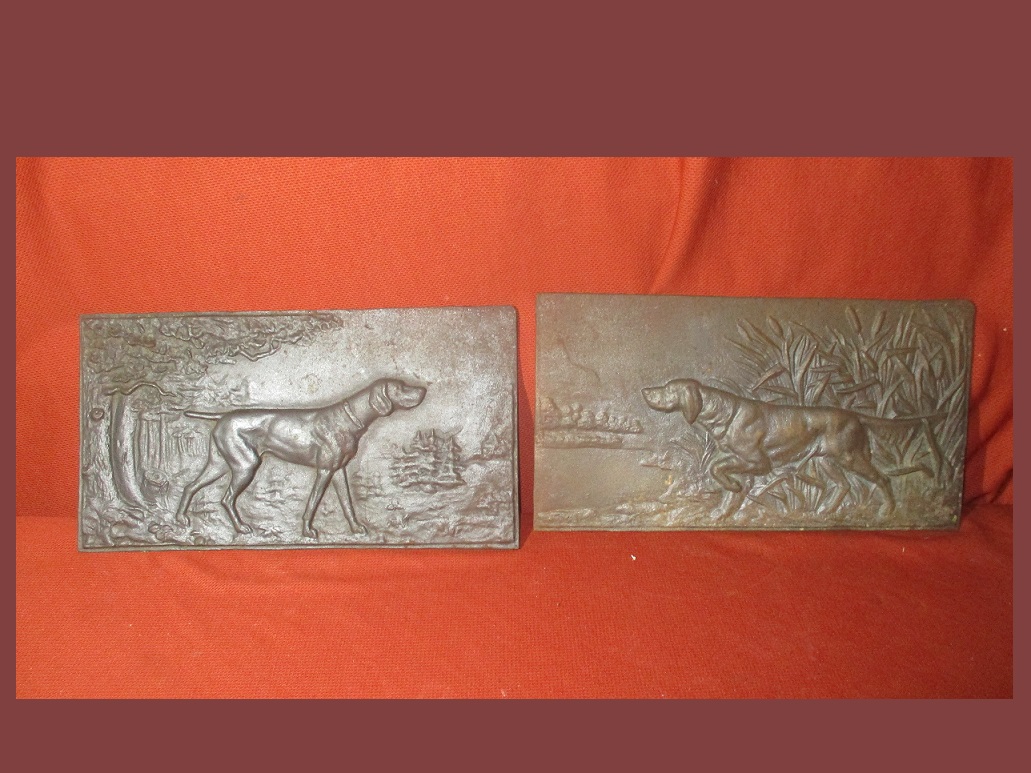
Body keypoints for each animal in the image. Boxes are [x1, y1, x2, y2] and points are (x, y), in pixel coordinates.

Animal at [175, 378, 425, 538]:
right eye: (401, 387)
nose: (423, 391)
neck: (348, 418)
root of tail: (223, 415)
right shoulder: (324, 471)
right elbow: (312, 503)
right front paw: (307, 531)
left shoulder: (338, 471)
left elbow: (347, 504)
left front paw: (355, 528)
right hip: (245, 466)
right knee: (226, 498)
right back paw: (241, 528)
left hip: (218, 464)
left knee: (189, 486)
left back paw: (180, 519)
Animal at [642, 378, 942, 520]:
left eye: (668, 389)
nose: (645, 392)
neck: (726, 414)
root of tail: (856, 415)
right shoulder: (744, 465)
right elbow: (728, 488)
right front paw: (723, 512)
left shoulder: (758, 463)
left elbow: (718, 469)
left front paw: (729, 493)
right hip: (826, 461)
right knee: (844, 486)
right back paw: (824, 511)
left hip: (849, 457)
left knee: (882, 478)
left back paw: (886, 511)